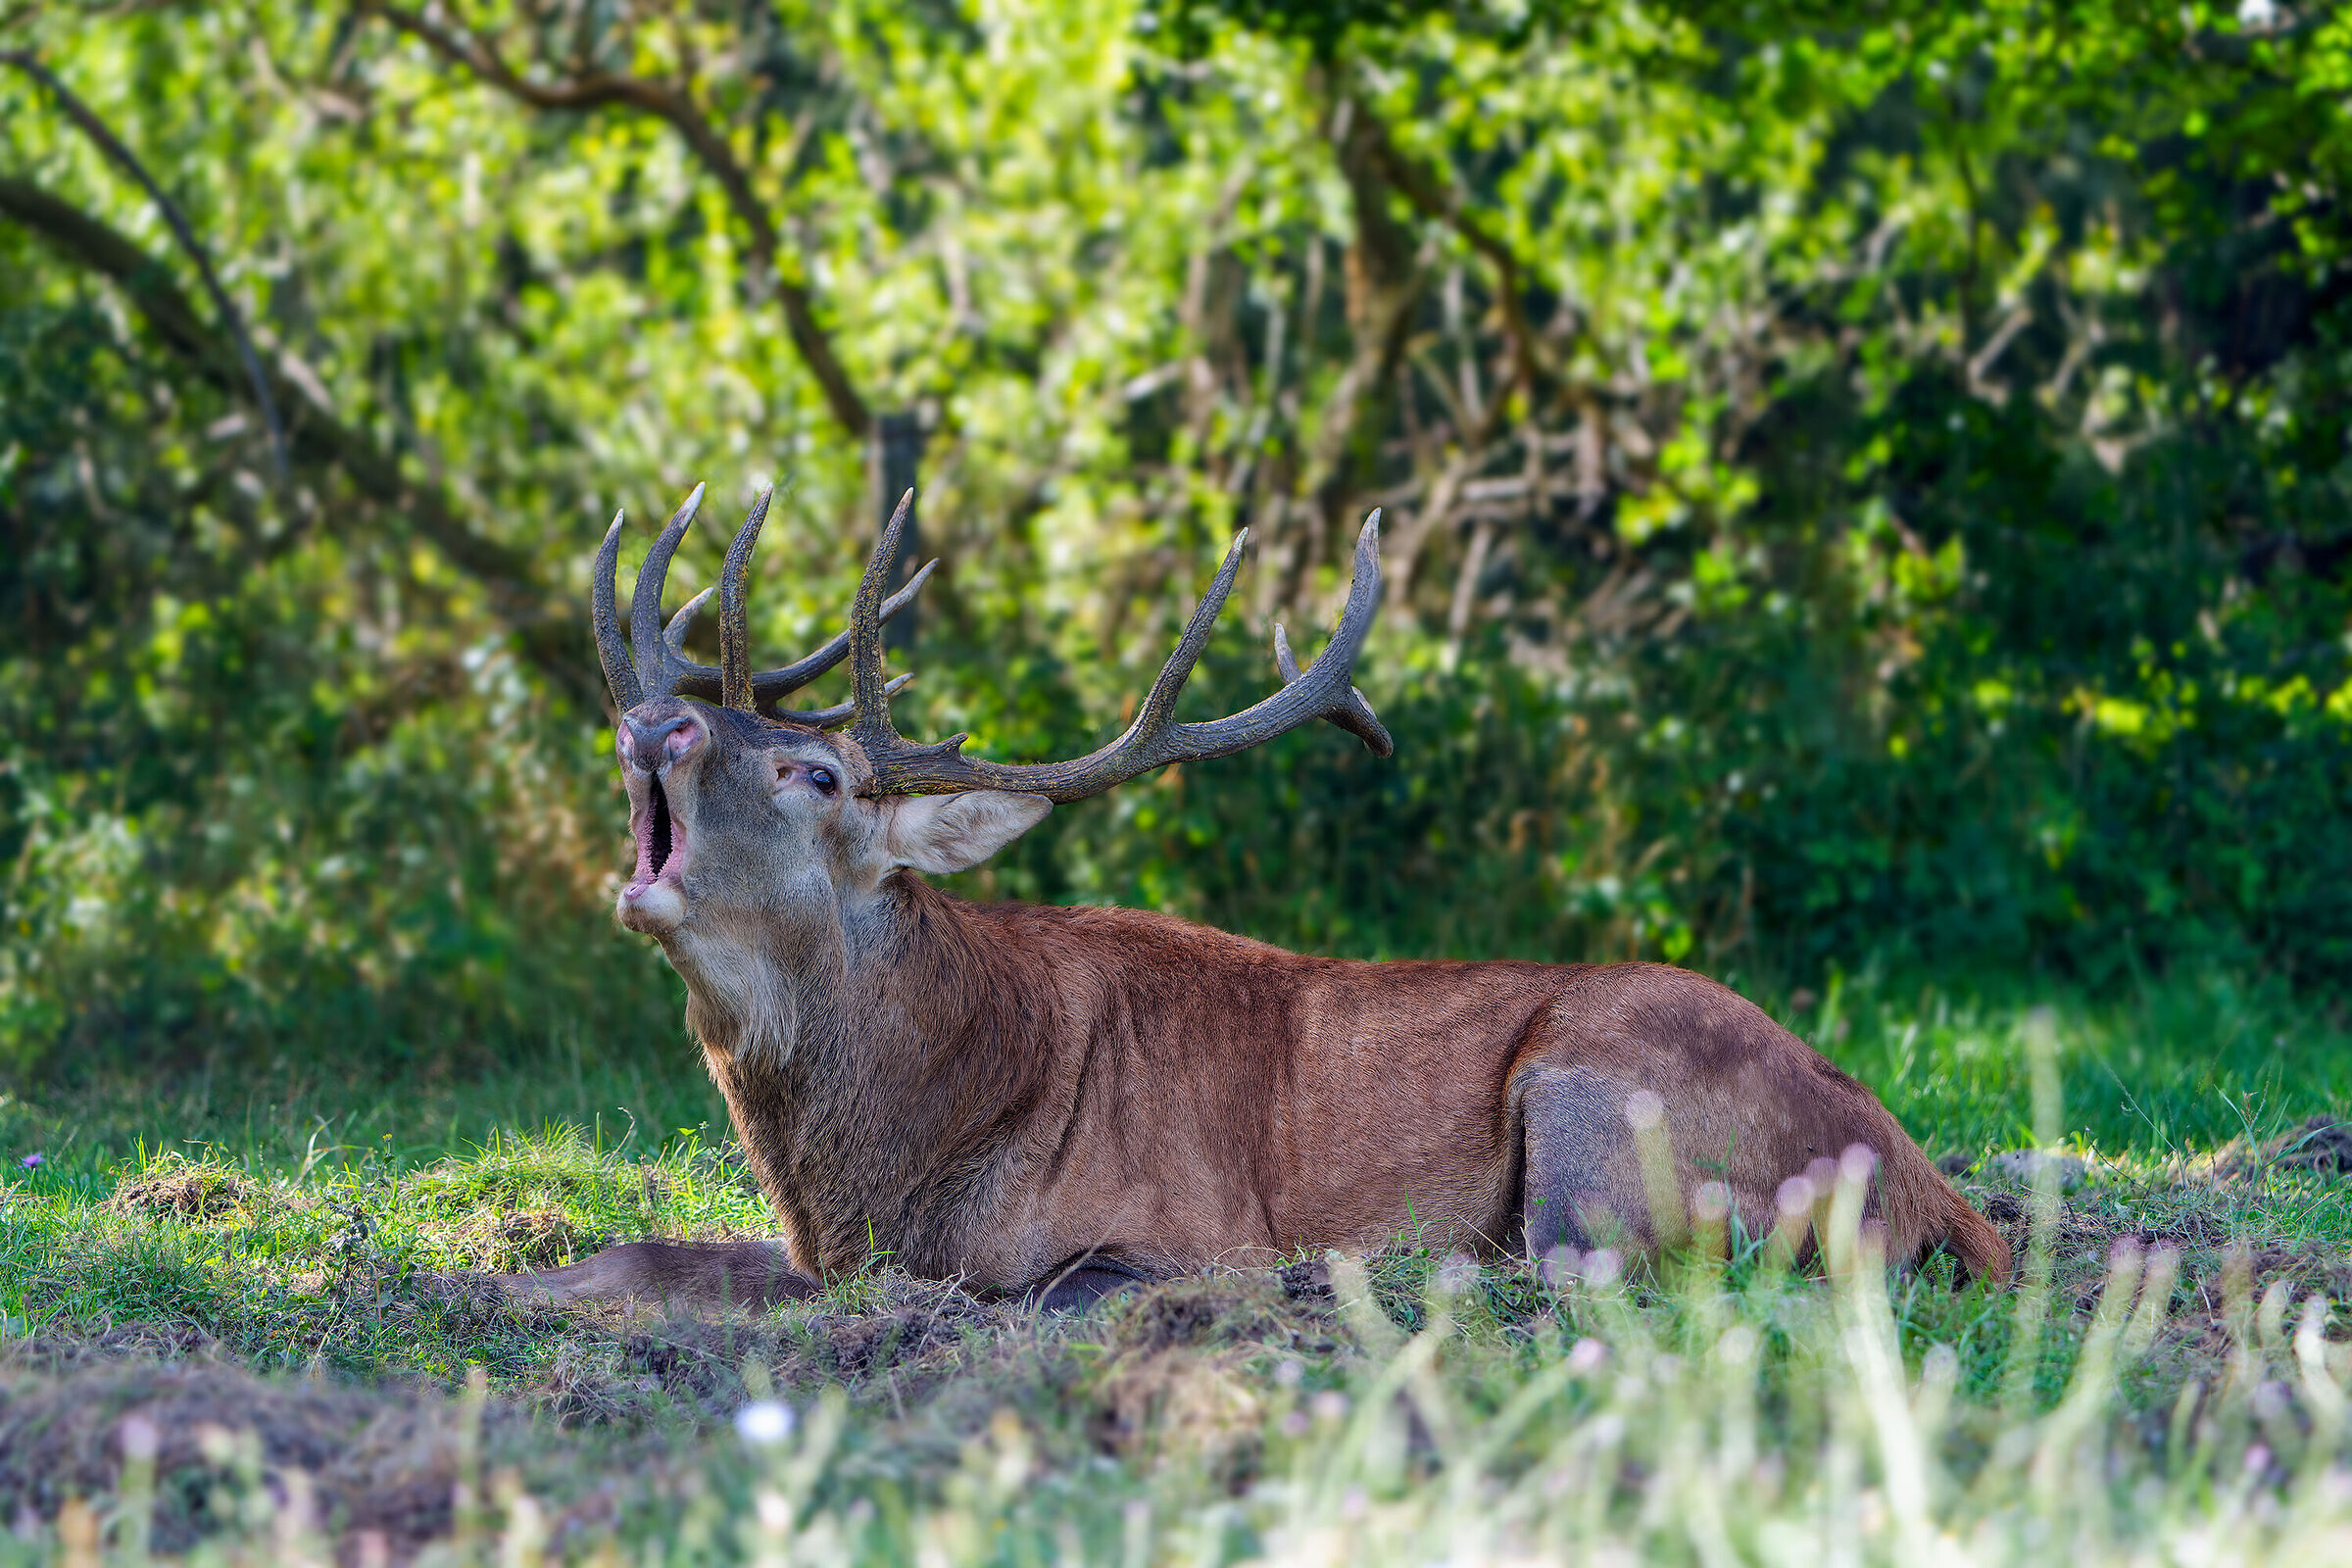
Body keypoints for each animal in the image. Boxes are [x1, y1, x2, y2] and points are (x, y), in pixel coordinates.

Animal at [492, 483, 2010, 1312]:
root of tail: (1943, 1201)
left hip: (1602, 1094)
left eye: (812, 771)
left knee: (1588, 1270)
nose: (656, 724)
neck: (888, 1167)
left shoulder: (1159, 1235)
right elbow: (635, 1258)